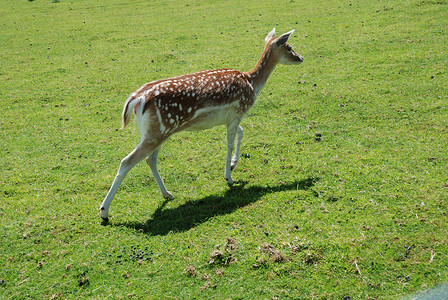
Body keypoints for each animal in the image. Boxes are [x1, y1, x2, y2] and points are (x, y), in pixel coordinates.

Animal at [99, 28, 302, 221]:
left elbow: (241, 133)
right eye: (289, 47)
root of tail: (137, 99)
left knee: (151, 159)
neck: (252, 82)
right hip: (158, 131)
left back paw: (167, 194)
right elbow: (229, 144)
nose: (301, 58)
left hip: (158, 131)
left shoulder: (231, 118)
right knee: (127, 161)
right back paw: (104, 212)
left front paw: (234, 164)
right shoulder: (237, 112)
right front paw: (229, 177)